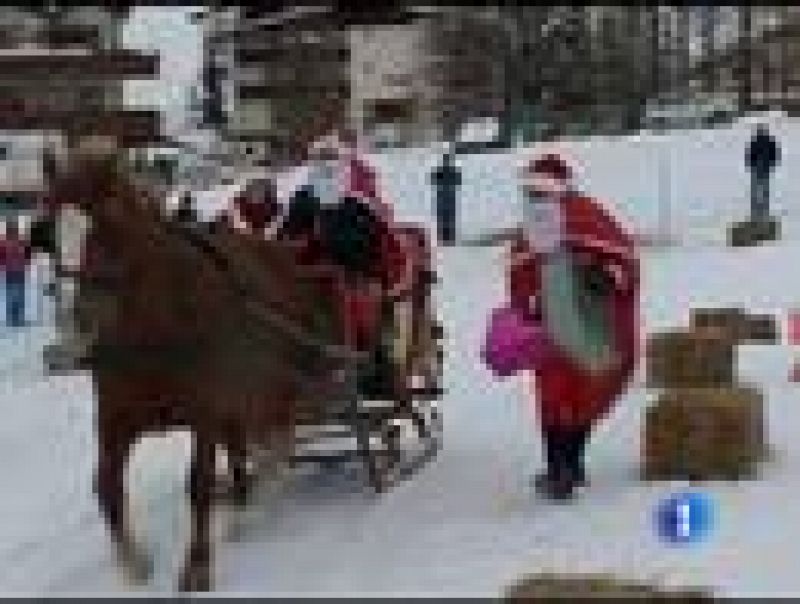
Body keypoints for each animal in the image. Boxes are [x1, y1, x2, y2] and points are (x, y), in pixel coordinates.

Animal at [50, 158, 360, 592]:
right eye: (48, 235)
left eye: (107, 232)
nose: (71, 340)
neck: (156, 329)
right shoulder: (115, 416)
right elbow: (106, 487)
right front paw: (133, 563)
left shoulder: (206, 412)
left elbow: (197, 484)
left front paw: (197, 567)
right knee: (250, 447)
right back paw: (244, 504)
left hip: (275, 387)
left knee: (278, 443)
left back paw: (256, 502)